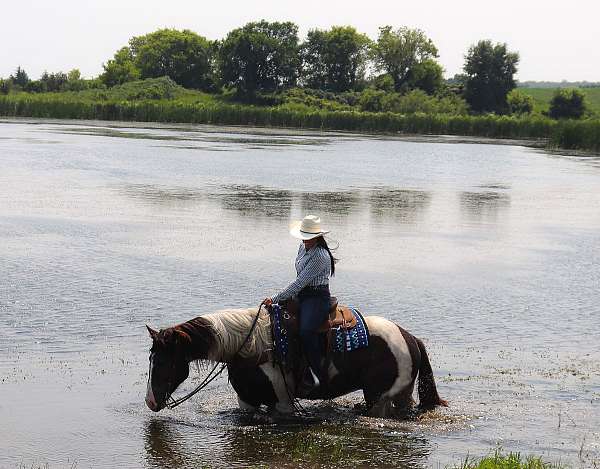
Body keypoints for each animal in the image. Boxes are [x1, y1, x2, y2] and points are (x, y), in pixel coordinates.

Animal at [144, 308, 446, 416]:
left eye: (162, 362)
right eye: (151, 359)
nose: (150, 401)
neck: (249, 346)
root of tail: (411, 338)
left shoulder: (283, 403)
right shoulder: (247, 401)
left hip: (379, 398)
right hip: (401, 395)